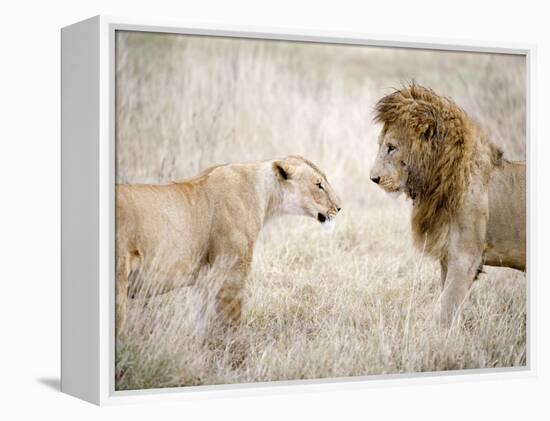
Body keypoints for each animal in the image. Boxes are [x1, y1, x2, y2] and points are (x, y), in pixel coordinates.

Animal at [115, 154, 340, 334]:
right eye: (318, 185)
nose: (339, 207)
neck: (265, 196)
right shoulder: (232, 275)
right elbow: (231, 327)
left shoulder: (205, 281)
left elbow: (202, 326)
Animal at [370, 83, 528, 324]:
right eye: (382, 145)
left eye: (391, 147)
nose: (373, 178)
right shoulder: (448, 255)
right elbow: (447, 301)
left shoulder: (465, 258)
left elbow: (446, 309)